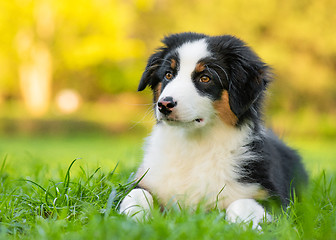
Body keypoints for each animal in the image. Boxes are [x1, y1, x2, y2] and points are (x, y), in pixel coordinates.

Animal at [119, 32, 308, 228]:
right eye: (168, 75)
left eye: (205, 78)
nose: (164, 104)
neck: (194, 145)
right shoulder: (147, 179)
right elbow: (136, 194)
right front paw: (132, 220)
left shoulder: (274, 199)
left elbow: (240, 203)